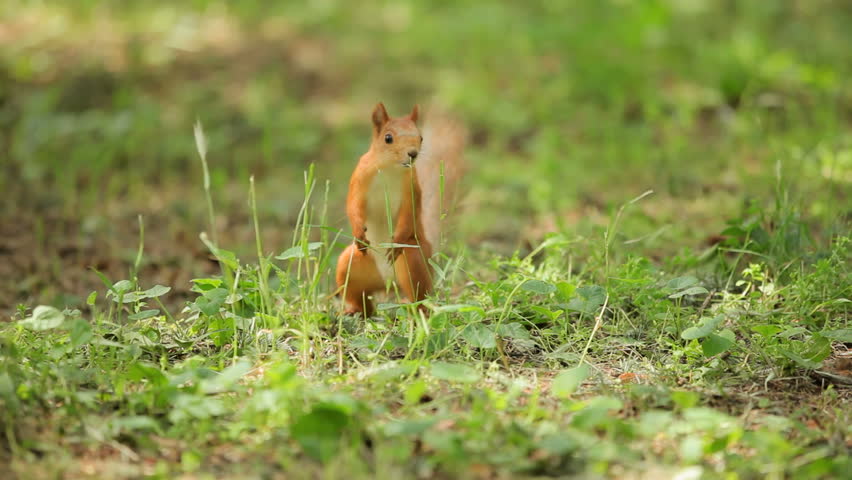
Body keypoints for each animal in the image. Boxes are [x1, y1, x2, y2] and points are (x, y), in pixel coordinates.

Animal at [335, 102, 466, 316]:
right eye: (388, 138)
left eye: (421, 137)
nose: (413, 153)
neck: (390, 167)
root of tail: (388, 283)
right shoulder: (359, 179)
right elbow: (353, 206)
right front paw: (358, 232)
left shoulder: (411, 189)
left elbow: (409, 214)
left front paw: (395, 242)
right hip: (350, 265)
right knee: (359, 297)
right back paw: (353, 310)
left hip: (413, 260)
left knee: (419, 295)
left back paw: (418, 311)